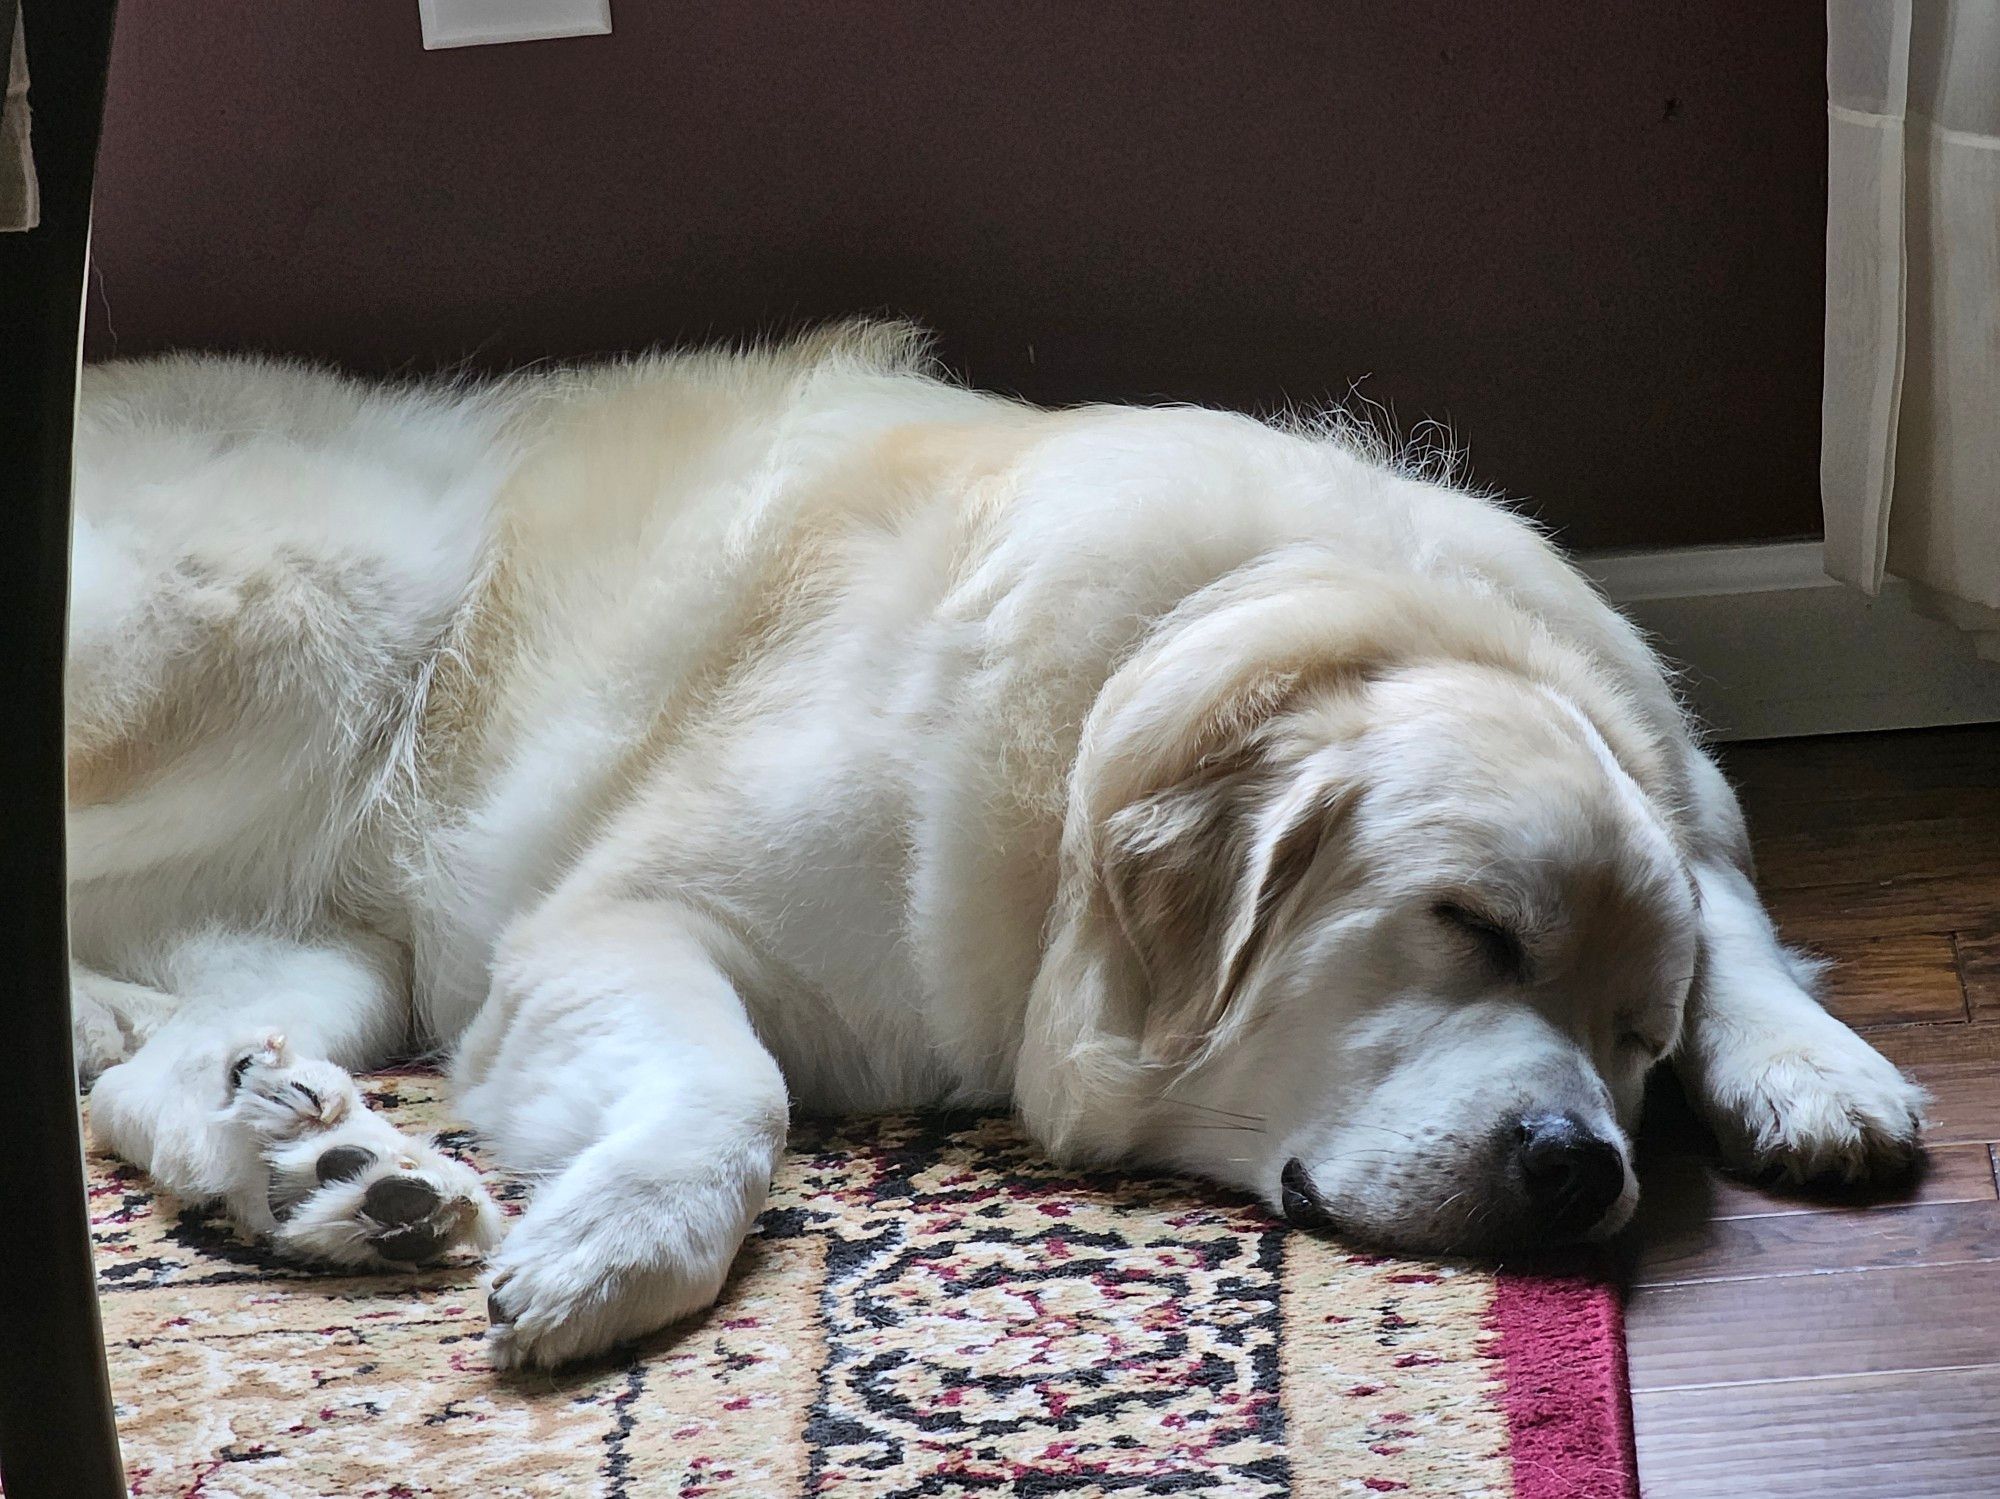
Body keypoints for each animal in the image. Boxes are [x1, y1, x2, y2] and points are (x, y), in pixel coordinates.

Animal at [70, 327, 1920, 1375]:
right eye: (1471, 925)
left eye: (1637, 1036)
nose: (1582, 1163)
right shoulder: (615, 922)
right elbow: (733, 1084)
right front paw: (616, 1245)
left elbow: (1732, 906)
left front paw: (1811, 1062)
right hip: (283, 618)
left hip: (339, 942)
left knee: (152, 1073)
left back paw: (315, 1164)